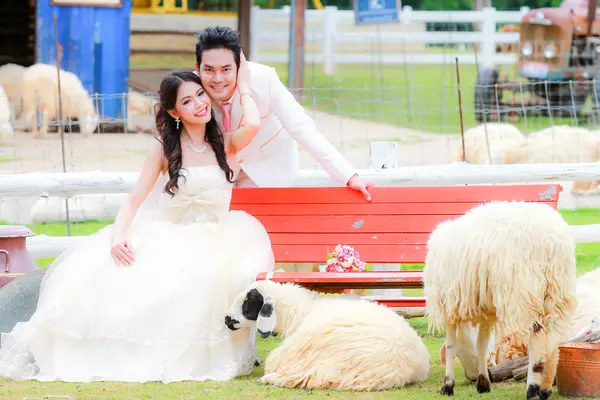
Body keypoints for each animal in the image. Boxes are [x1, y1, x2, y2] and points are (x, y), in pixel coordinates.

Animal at [424, 202, 580, 398]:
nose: (471, 376)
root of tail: (551, 241)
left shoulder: (448, 305)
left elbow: (451, 344)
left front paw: (448, 385)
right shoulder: (486, 310)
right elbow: (482, 344)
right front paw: (483, 383)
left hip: (523, 291)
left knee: (537, 335)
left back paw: (532, 389)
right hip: (557, 291)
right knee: (552, 338)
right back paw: (545, 388)